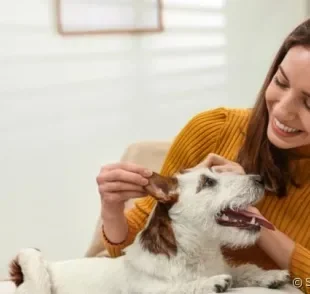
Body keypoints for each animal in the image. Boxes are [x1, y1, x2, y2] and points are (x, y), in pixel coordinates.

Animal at [7, 167, 290, 292]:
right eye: (208, 182)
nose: (261, 178)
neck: (196, 253)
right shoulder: (151, 291)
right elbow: (178, 288)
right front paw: (209, 283)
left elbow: (243, 270)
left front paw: (269, 275)